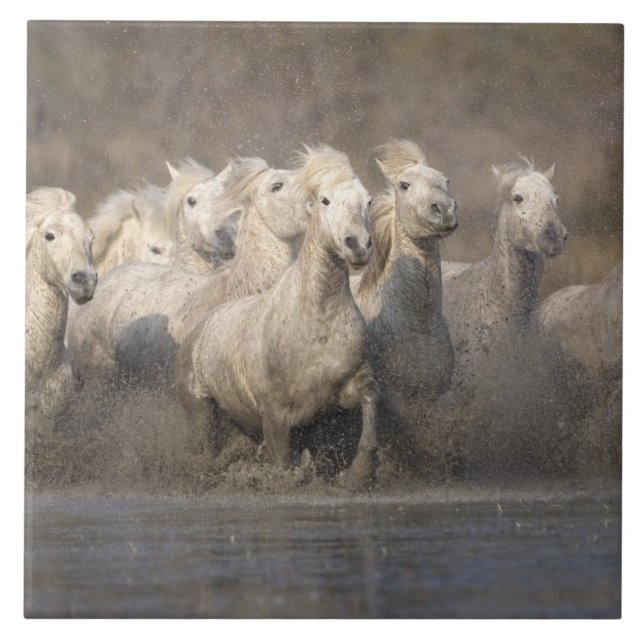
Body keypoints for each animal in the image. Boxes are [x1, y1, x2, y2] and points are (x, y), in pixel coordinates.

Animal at [175, 145, 379, 486]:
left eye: (368, 200)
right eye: (325, 200)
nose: (358, 245)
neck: (317, 318)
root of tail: (198, 329)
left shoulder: (348, 387)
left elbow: (370, 405)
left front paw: (358, 473)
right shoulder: (275, 416)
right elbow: (283, 464)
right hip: (202, 411)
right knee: (205, 450)